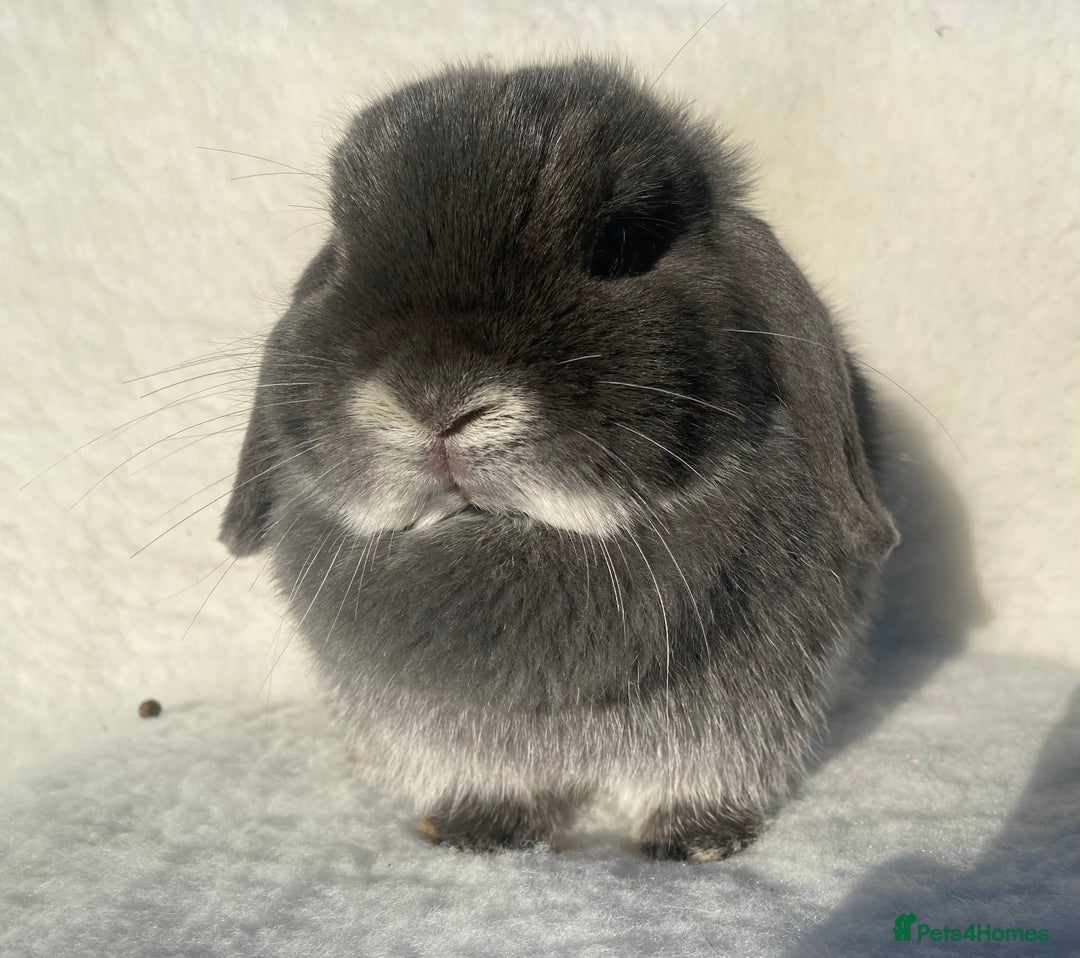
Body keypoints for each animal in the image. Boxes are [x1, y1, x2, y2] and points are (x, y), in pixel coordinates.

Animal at [220, 59, 898, 862]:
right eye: (344, 258)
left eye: (621, 244)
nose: (436, 400)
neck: (513, 536)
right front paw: (479, 833)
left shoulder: (740, 722)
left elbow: (699, 781)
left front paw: (697, 840)